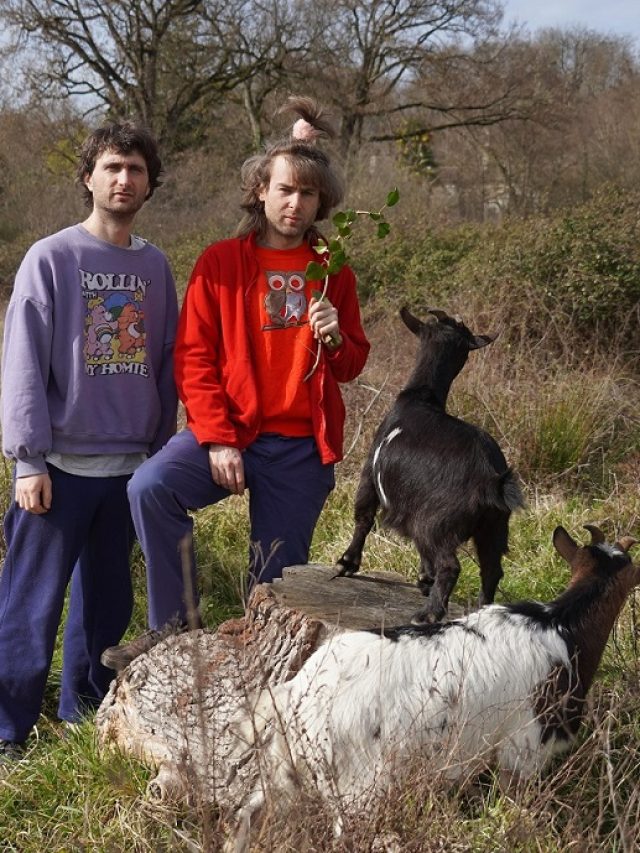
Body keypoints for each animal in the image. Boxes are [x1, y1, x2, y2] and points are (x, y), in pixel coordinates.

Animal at [338, 308, 524, 624]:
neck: (421, 398)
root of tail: (489, 478)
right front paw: (425, 579)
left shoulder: (370, 474)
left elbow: (363, 516)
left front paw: (347, 563)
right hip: (494, 526)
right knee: (492, 568)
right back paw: (480, 611)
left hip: (436, 521)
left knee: (450, 565)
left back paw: (429, 614)